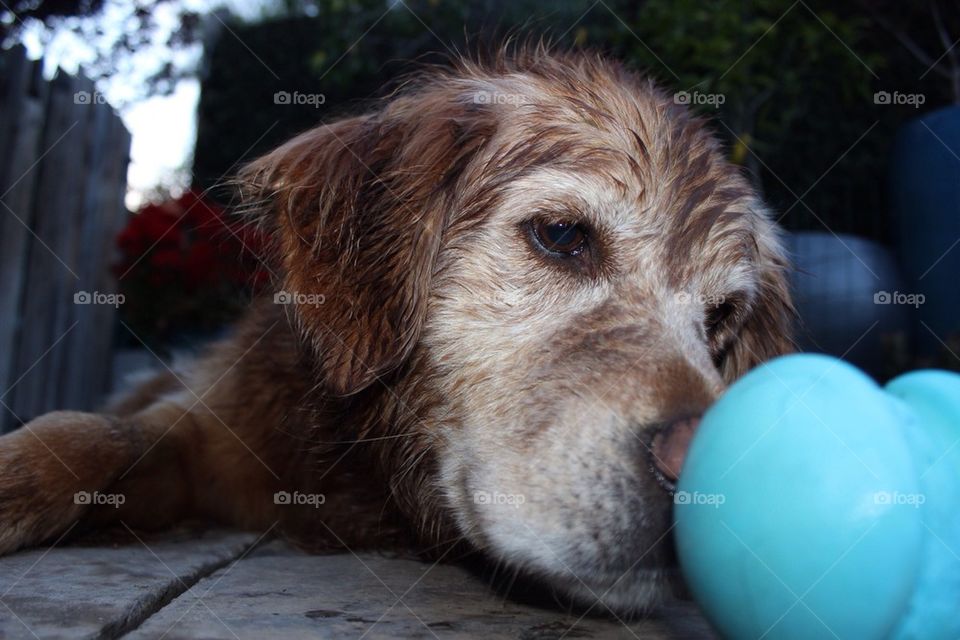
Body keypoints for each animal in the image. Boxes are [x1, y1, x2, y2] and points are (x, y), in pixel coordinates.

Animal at [0, 47, 796, 616]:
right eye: (562, 236)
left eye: (722, 318)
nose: (704, 469)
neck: (370, 475)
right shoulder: (217, 428)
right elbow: (92, 434)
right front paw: (17, 475)